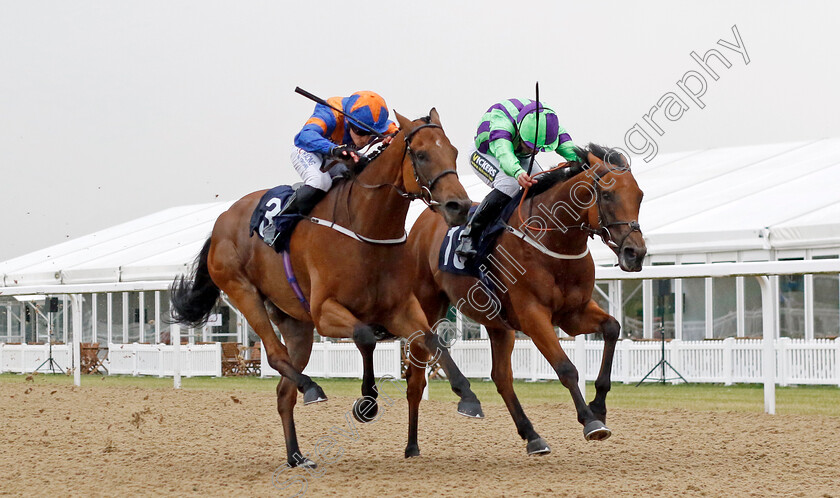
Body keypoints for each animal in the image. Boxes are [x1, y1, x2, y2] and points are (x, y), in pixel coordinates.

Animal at [167, 111, 482, 468]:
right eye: (421, 154)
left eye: (453, 152)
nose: (460, 205)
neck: (365, 227)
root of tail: (221, 220)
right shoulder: (325, 312)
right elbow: (365, 336)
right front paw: (368, 402)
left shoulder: (400, 309)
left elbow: (432, 341)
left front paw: (468, 396)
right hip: (243, 292)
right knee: (274, 355)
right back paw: (311, 388)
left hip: (296, 324)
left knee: (283, 391)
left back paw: (296, 455)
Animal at [404, 143, 648, 456]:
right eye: (606, 194)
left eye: (639, 195)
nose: (635, 253)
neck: (554, 243)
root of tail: (425, 218)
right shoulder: (533, 315)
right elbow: (566, 368)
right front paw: (590, 421)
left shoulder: (574, 314)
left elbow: (612, 328)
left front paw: (599, 406)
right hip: (428, 303)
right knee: (420, 367)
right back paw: (437, 423)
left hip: (498, 323)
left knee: (501, 377)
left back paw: (530, 436)